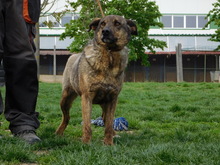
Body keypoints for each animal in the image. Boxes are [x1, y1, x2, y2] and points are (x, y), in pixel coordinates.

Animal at [55, 14, 137, 145]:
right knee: (66, 117)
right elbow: (87, 124)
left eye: (117, 23)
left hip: (105, 103)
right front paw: (86, 142)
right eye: (102, 24)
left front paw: (109, 143)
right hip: (65, 98)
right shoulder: (87, 96)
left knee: (106, 119)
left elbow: (108, 124)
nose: (105, 32)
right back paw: (59, 132)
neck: (109, 54)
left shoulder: (112, 98)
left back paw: (114, 134)